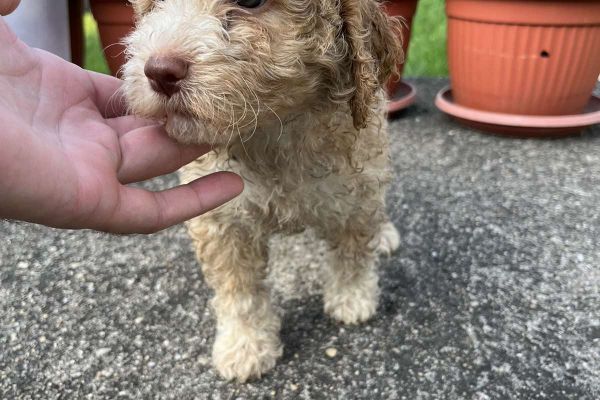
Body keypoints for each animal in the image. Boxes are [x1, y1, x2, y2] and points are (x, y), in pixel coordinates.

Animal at [122, 0, 404, 382]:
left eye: (252, 3)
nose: (159, 72)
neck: (273, 130)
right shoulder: (224, 219)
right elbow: (239, 288)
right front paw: (245, 345)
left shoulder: (355, 187)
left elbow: (352, 251)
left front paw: (353, 297)